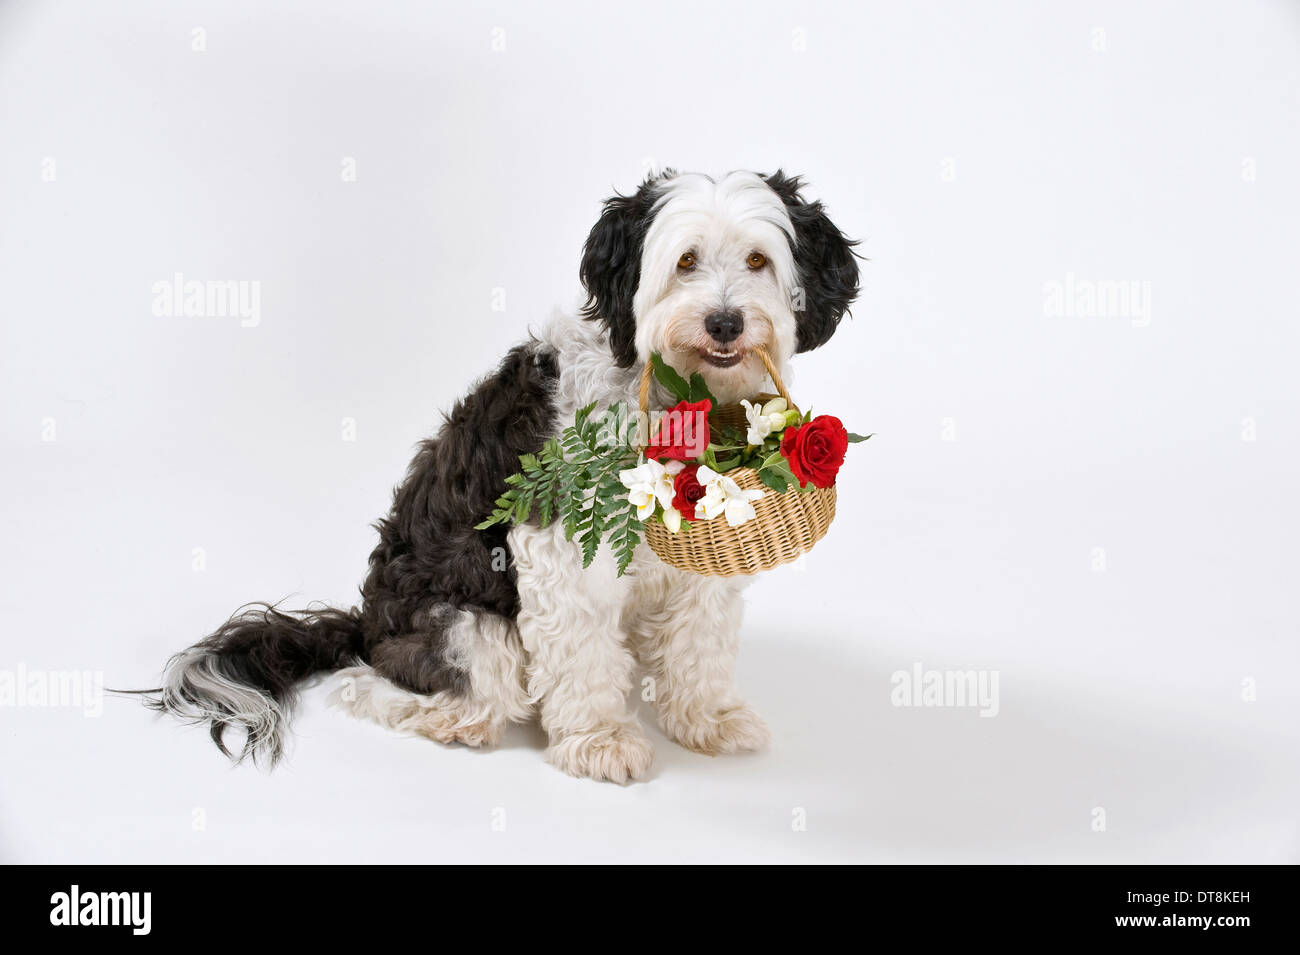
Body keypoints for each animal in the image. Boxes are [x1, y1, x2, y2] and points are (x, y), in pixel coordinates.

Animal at [152, 170, 857, 784]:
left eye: (758, 260)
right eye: (685, 261)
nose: (725, 322)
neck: (664, 393)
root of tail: (365, 622)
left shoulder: (704, 540)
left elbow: (698, 644)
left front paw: (706, 719)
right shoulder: (559, 548)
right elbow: (580, 653)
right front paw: (599, 738)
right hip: (465, 628)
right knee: (373, 684)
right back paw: (447, 716)